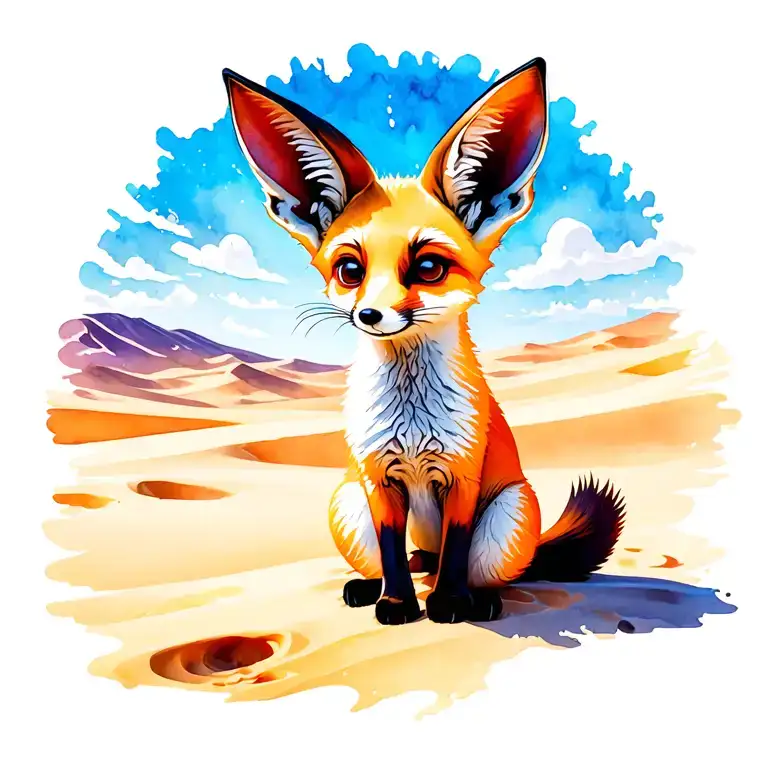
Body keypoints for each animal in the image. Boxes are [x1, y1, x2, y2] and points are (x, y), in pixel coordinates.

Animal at [223, 57, 626, 626]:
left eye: (429, 267)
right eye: (350, 270)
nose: (371, 315)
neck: (412, 424)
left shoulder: (462, 476)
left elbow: (456, 552)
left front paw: (451, 603)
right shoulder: (377, 479)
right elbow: (393, 554)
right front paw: (395, 603)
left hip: (509, 513)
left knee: (483, 569)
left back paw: (479, 596)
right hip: (346, 501)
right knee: (410, 559)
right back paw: (373, 586)